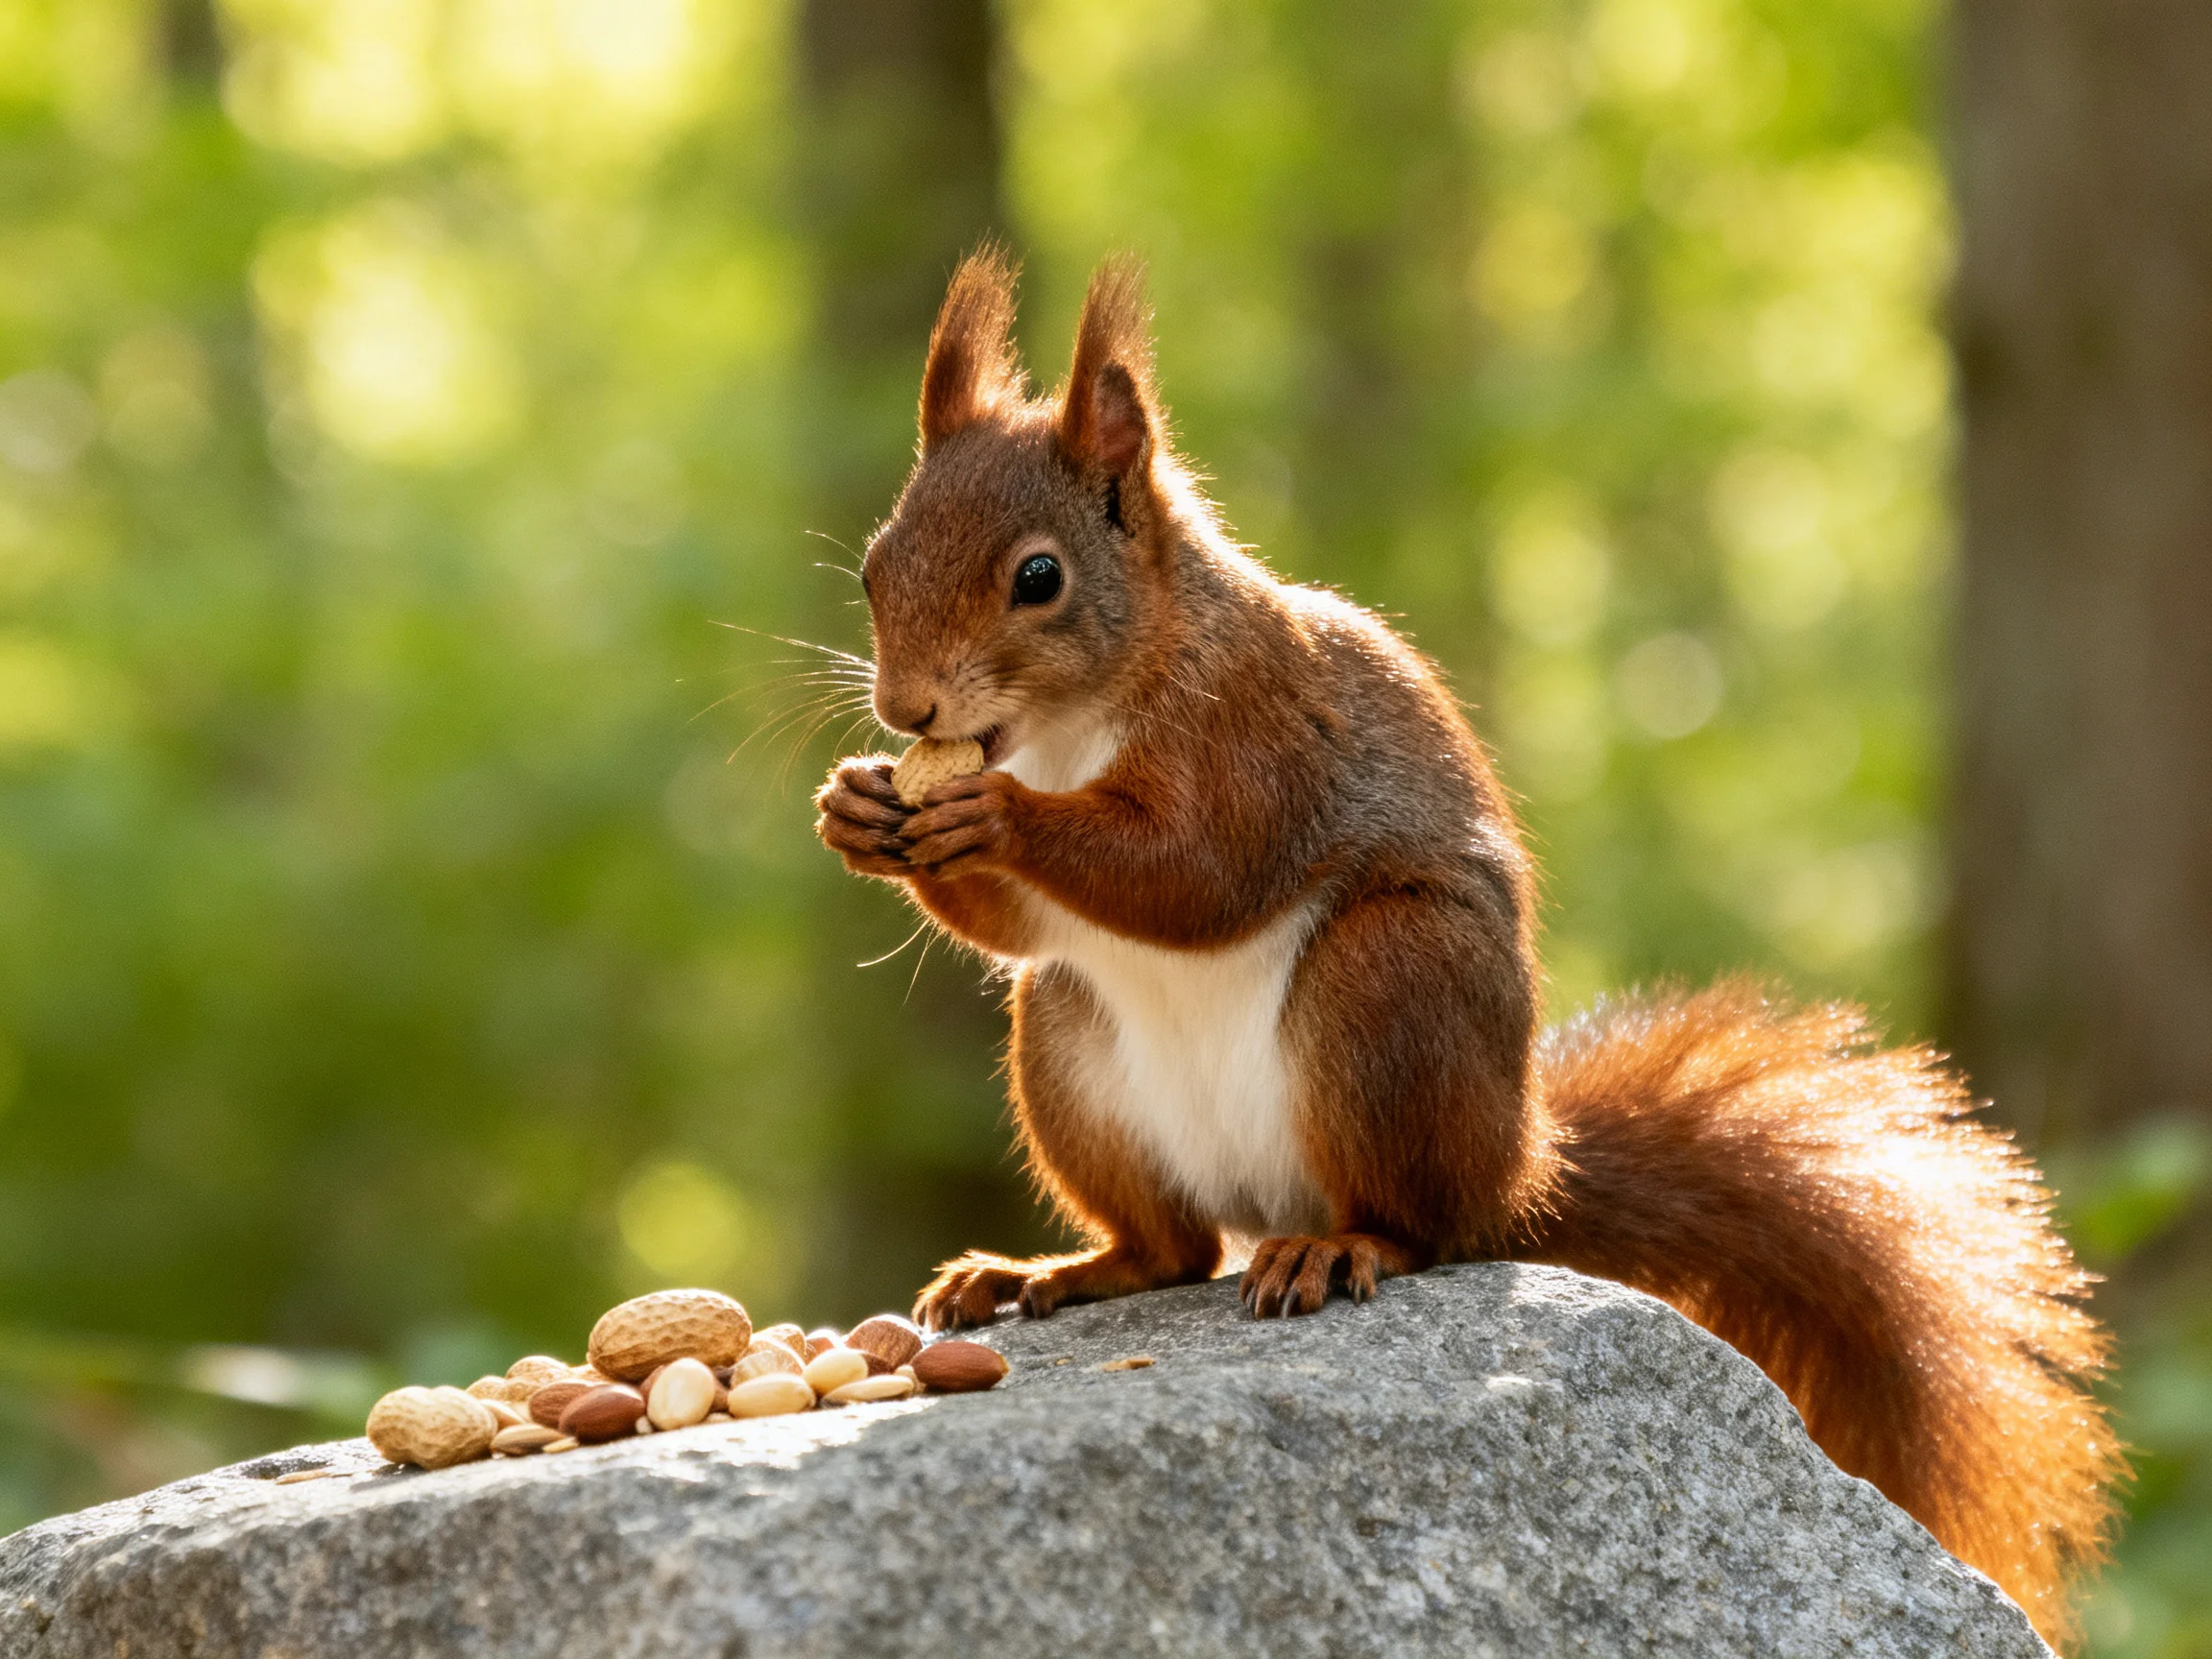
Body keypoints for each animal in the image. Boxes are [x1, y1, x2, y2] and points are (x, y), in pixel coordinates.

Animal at [814, 249, 2120, 1644]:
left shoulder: (1261, 732)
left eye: (1039, 578)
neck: (1074, 722)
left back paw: (1345, 1248)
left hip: (1390, 986)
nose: (906, 711)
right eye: (874, 567)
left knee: (1422, 1226)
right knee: (1172, 1249)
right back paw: (1055, 1269)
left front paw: (994, 816)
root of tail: (1517, 1171)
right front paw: (858, 812)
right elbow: (1018, 926)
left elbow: (1197, 873)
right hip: (1068, 1040)